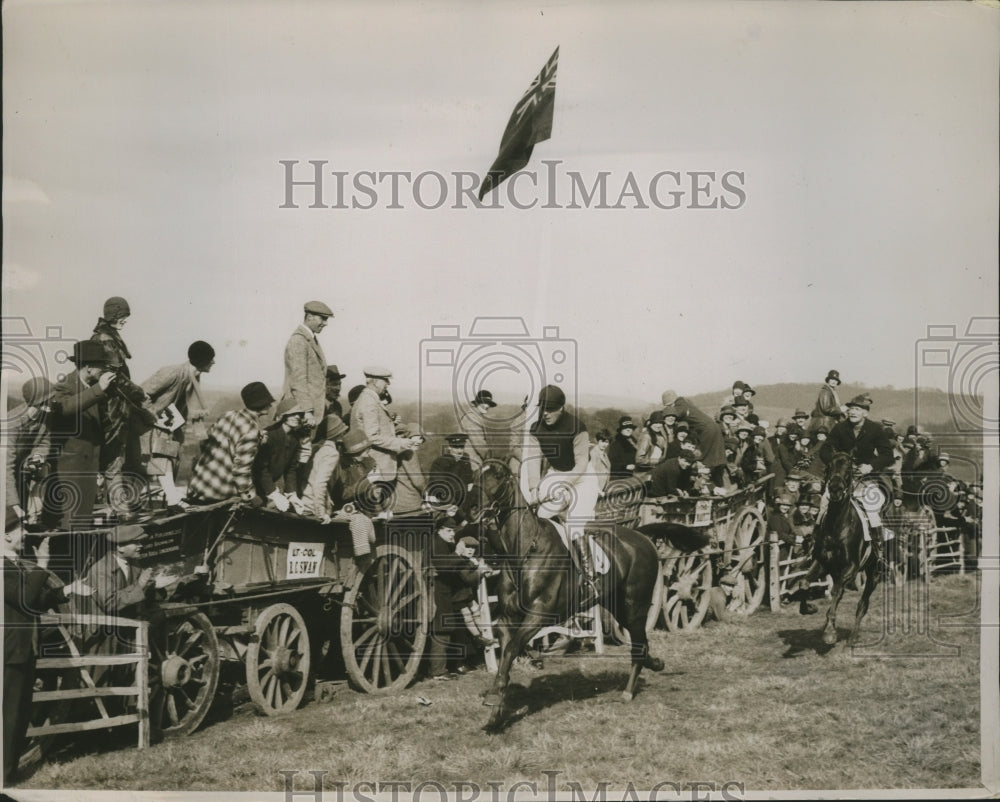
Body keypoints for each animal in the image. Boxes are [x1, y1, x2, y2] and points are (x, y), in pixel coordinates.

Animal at [470, 462, 664, 732]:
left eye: (497, 476)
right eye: (476, 475)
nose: (473, 508)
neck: (524, 551)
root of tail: (644, 538)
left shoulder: (539, 614)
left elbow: (510, 650)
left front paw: (494, 698)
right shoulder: (510, 618)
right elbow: (506, 654)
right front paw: (495, 713)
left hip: (635, 606)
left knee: (639, 644)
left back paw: (628, 691)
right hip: (618, 607)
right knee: (641, 643)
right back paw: (654, 664)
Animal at [812, 450, 884, 644]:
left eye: (849, 467)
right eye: (829, 466)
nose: (835, 489)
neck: (837, 524)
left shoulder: (850, 567)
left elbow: (836, 591)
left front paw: (830, 631)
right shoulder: (824, 564)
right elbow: (807, 583)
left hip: (874, 575)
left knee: (862, 604)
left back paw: (853, 636)